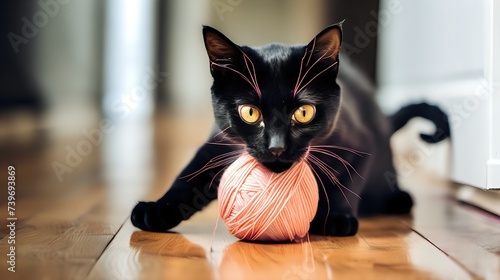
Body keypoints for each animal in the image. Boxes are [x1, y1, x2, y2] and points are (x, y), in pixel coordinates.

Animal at [130, 22, 450, 236]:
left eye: (303, 112)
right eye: (250, 112)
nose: (276, 146)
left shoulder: (360, 144)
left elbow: (346, 183)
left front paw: (337, 218)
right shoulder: (220, 142)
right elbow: (190, 176)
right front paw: (156, 209)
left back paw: (397, 198)